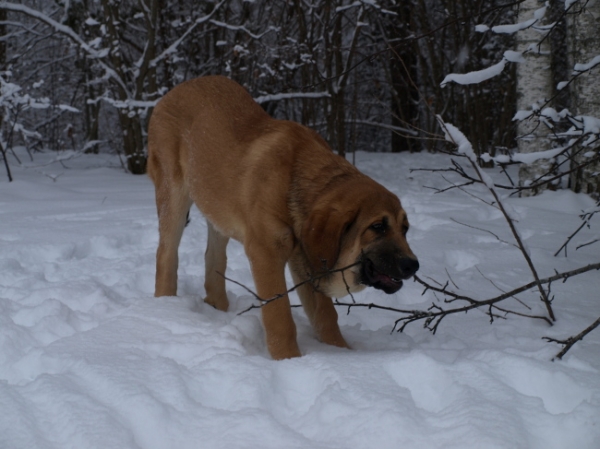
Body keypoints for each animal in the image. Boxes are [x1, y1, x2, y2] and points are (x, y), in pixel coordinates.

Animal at [146, 75, 418, 358]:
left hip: (216, 206)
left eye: (405, 228)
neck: (298, 182)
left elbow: (325, 315)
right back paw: (166, 306)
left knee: (214, 257)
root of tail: (176, 90)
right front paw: (288, 359)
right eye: (377, 226)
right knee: (166, 254)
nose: (413, 265)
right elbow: (280, 317)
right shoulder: (266, 254)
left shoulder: (306, 260)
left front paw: (340, 353)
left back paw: (218, 307)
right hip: (173, 194)